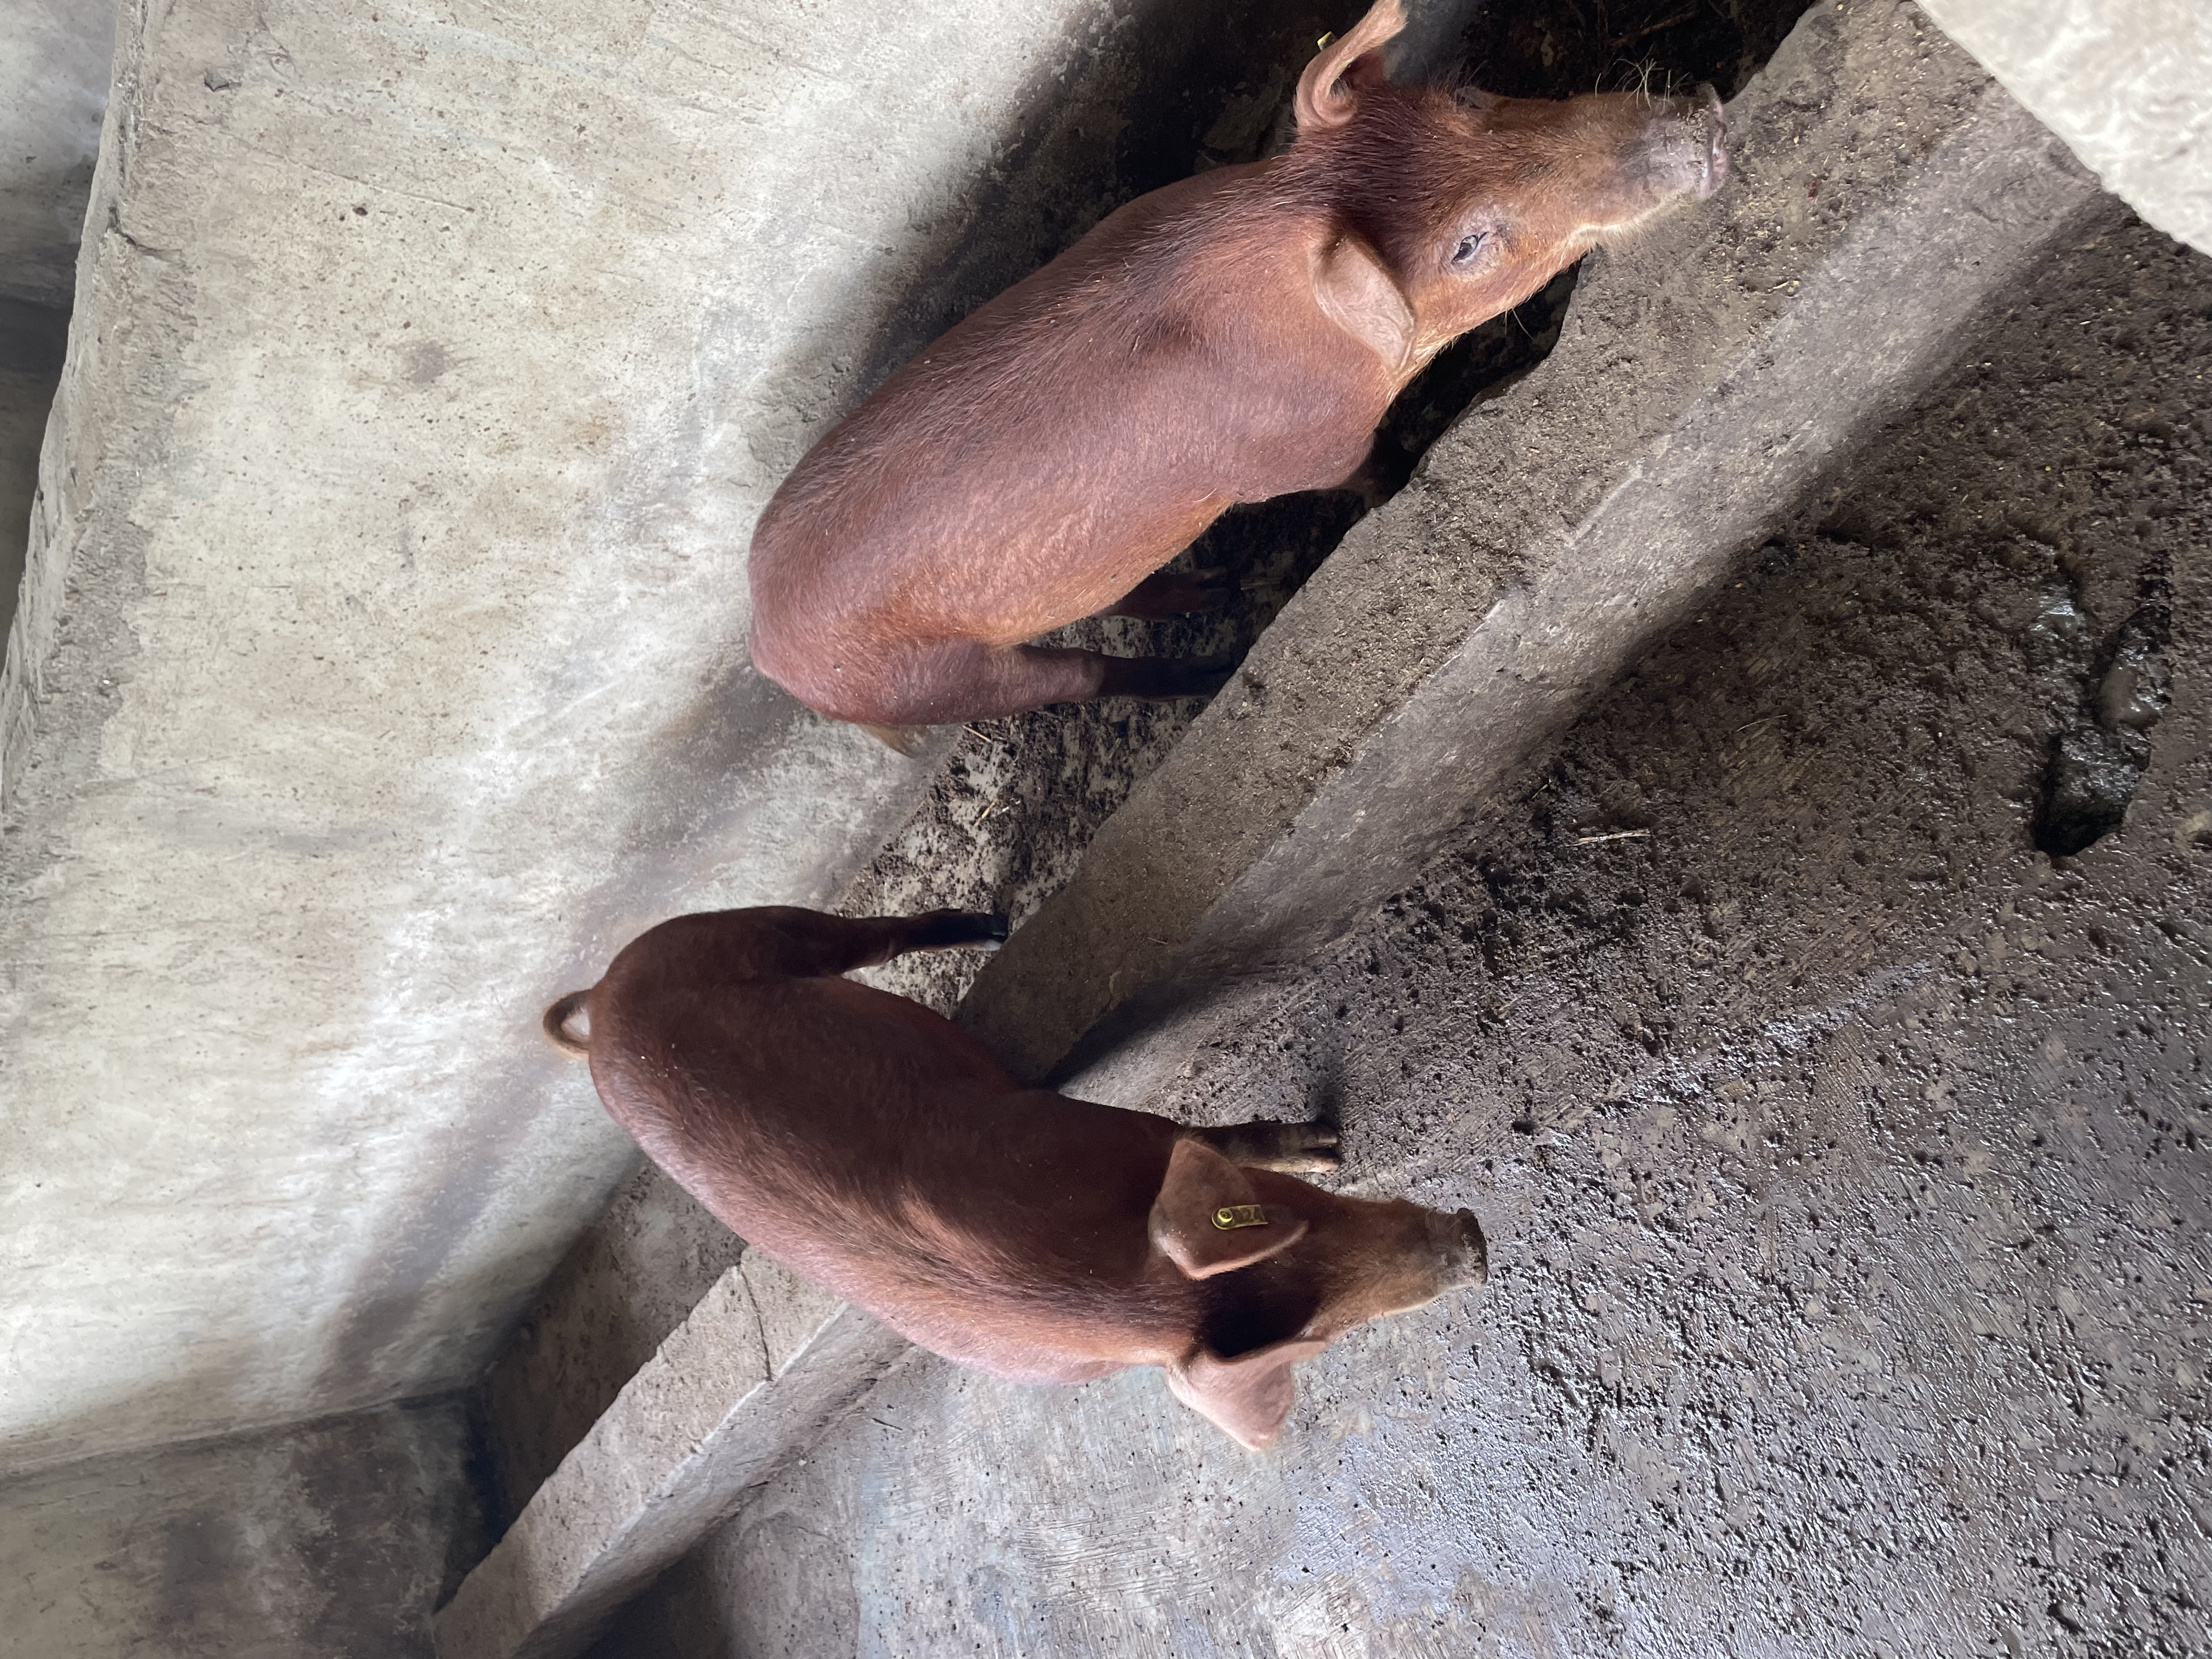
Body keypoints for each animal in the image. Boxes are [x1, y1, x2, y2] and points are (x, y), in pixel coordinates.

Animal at [543, 904, 1487, 1448]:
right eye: (1323, 1333)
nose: (1474, 1247)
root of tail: (602, 1008)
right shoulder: (1108, 1124)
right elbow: (1220, 1133)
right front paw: (1329, 1140)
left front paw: (1330, 1145)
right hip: (735, 936)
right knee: (868, 935)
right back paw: (992, 926)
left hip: (705, 934)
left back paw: (994, 928)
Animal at [747, 0, 1729, 736]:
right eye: (1468, 244)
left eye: (1471, 94)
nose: (1706, 133)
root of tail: (764, 641)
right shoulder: (1313, 453)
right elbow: (1372, 474)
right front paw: (1402, 485)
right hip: (940, 680)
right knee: (1077, 675)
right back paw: (1218, 664)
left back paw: (1213, 590)